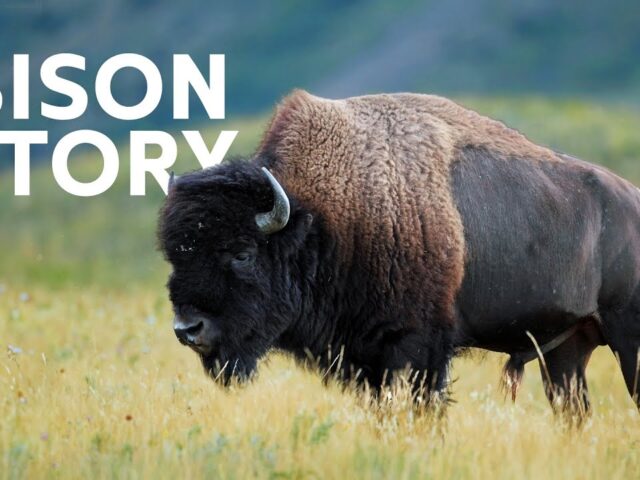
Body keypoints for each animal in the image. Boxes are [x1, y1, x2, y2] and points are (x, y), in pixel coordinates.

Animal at [158, 90, 640, 415]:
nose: (187, 329)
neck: (325, 217)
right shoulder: (368, 358)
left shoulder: (418, 347)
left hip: (626, 339)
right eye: (176, 256)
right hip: (566, 352)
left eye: (242, 253)